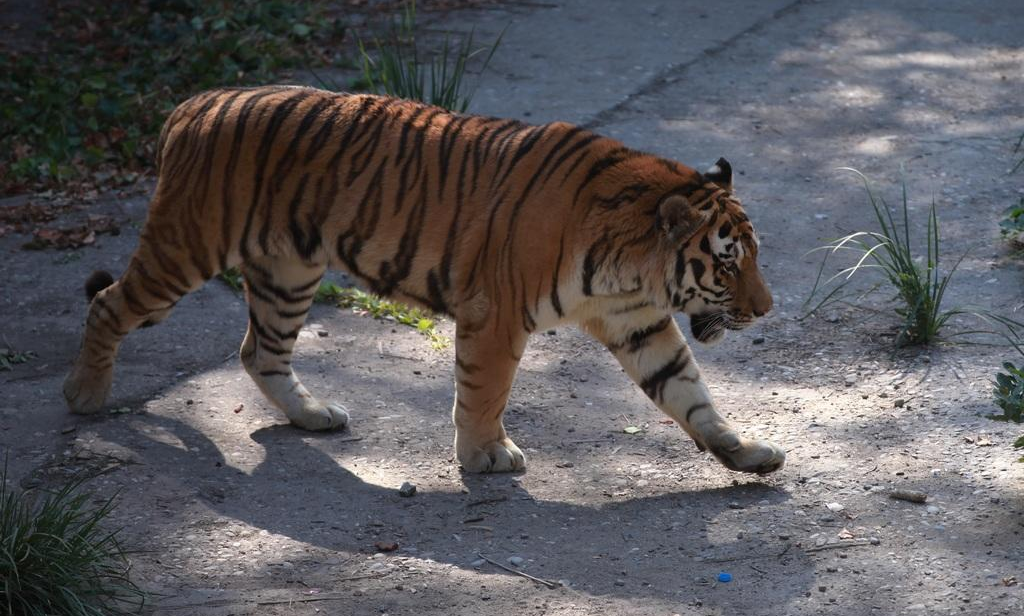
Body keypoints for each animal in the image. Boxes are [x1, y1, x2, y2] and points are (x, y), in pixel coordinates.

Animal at [61, 83, 782, 472]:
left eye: (751, 255)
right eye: (727, 262)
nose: (767, 308)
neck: (633, 268)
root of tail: (196, 101)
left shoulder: (640, 323)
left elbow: (689, 392)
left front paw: (745, 452)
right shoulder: (497, 313)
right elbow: (485, 390)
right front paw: (488, 456)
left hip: (289, 272)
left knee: (259, 350)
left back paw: (314, 414)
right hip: (185, 248)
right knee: (107, 305)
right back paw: (84, 395)